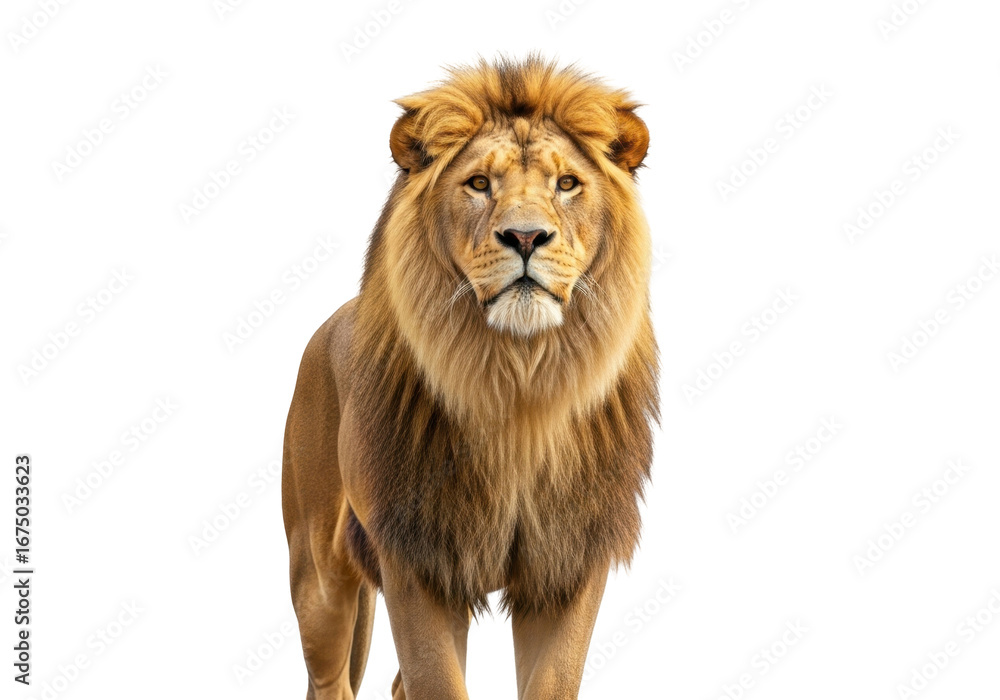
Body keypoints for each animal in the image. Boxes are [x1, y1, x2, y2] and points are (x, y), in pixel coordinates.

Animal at [281, 56, 659, 699]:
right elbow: (438, 680)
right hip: (317, 572)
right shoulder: (417, 556)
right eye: (480, 184)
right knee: (330, 680)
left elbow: (551, 681)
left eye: (567, 184)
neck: (517, 379)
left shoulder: (568, 559)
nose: (526, 237)